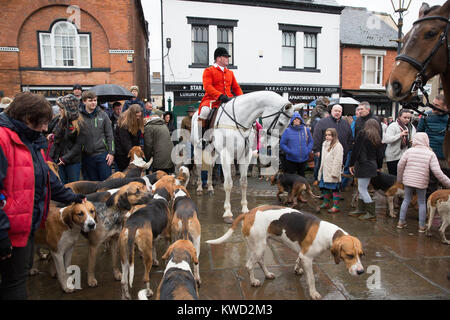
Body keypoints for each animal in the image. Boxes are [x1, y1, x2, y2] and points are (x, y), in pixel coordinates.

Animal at [191, 90, 294, 222]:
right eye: (281, 123)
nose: (272, 146)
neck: (240, 120)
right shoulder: (226, 155)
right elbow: (228, 184)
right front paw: (228, 213)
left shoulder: (245, 156)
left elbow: (244, 182)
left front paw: (245, 209)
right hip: (198, 149)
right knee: (199, 167)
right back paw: (199, 188)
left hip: (213, 150)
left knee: (210, 167)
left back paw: (210, 187)